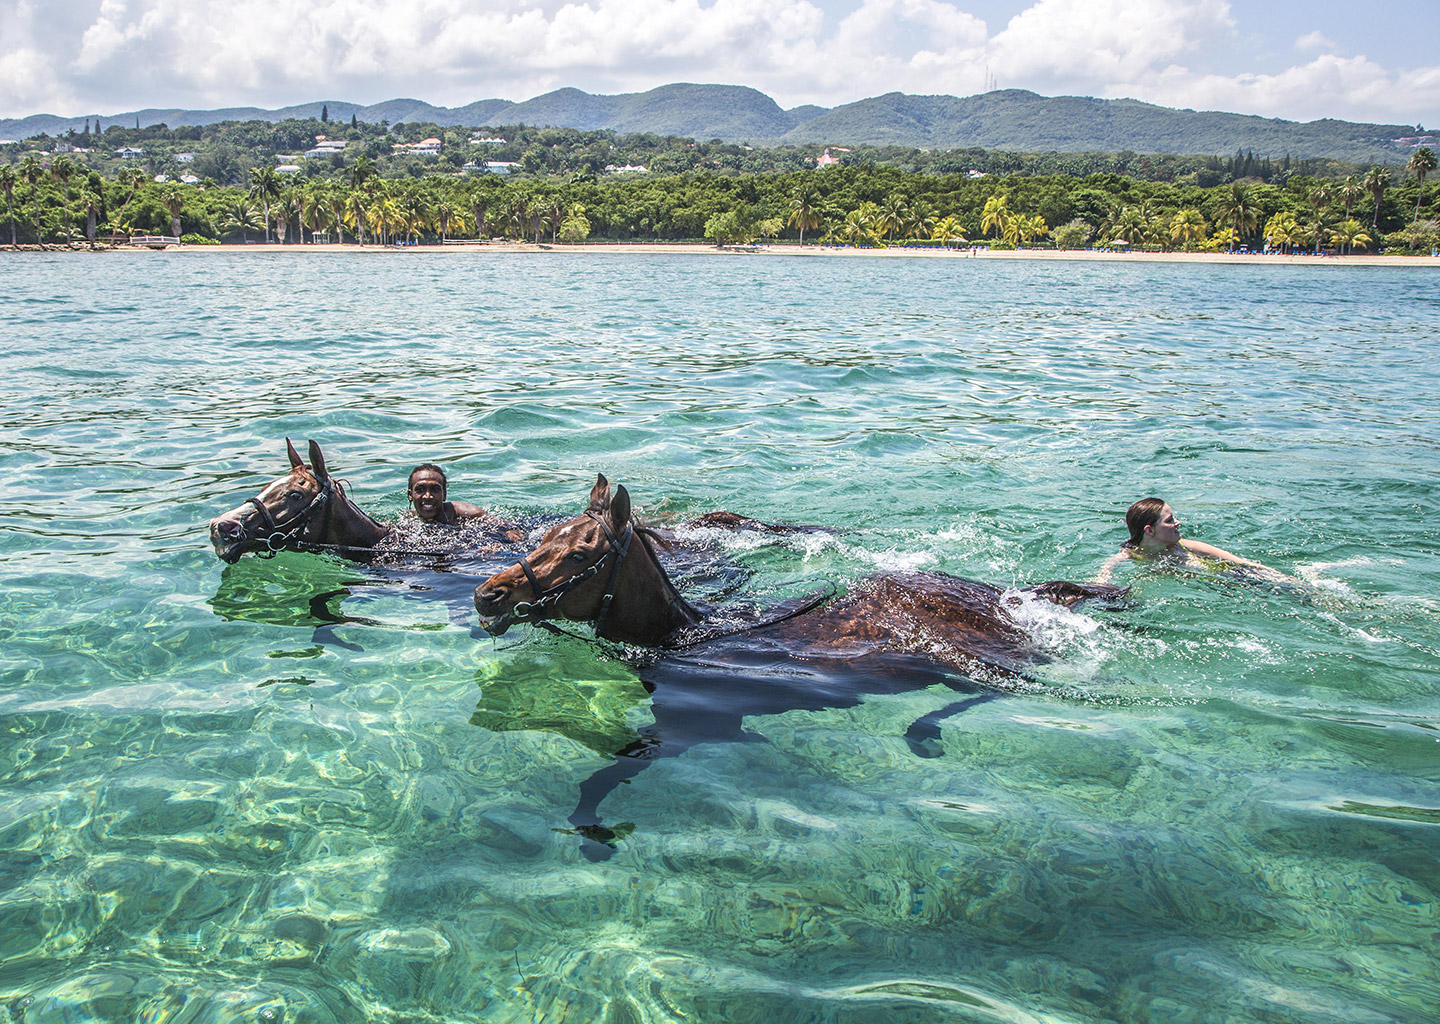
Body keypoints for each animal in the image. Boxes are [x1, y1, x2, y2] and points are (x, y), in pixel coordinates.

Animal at [475, 475, 1123, 858]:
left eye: (580, 552)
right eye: (545, 536)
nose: (489, 596)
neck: (690, 637)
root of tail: (1012, 595)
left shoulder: (697, 727)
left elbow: (603, 776)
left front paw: (592, 831)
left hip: (968, 661)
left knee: (1003, 692)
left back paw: (923, 732)